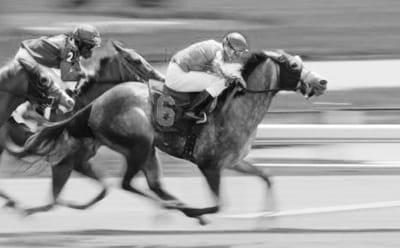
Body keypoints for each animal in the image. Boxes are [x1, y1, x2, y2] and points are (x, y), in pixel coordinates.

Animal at [2, 40, 162, 211]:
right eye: (136, 60)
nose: (160, 77)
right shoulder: (64, 162)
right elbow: (52, 202)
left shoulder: (81, 161)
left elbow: (103, 190)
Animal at [10, 50, 326, 223]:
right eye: (294, 66)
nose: (322, 82)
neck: (236, 109)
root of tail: (95, 104)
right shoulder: (210, 165)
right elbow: (218, 204)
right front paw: (197, 211)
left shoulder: (234, 161)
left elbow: (267, 177)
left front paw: (267, 220)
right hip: (138, 144)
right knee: (128, 183)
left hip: (145, 148)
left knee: (150, 184)